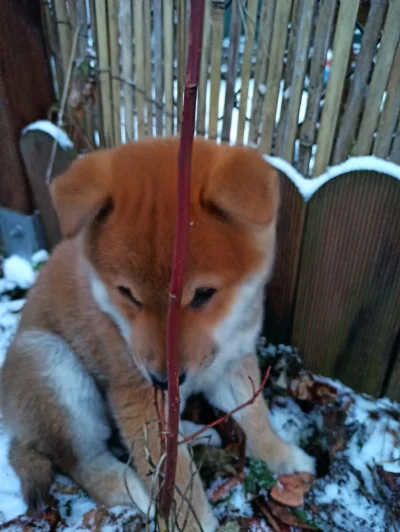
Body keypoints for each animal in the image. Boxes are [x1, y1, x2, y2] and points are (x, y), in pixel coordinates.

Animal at [0, 138, 314, 532]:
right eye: (128, 294)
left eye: (204, 294)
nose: (162, 380)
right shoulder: (137, 397)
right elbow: (175, 482)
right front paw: (192, 524)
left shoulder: (233, 365)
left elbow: (255, 418)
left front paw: (281, 453)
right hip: (52, 364)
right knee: (81, 463)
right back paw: (131, 488)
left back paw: (198, 432)